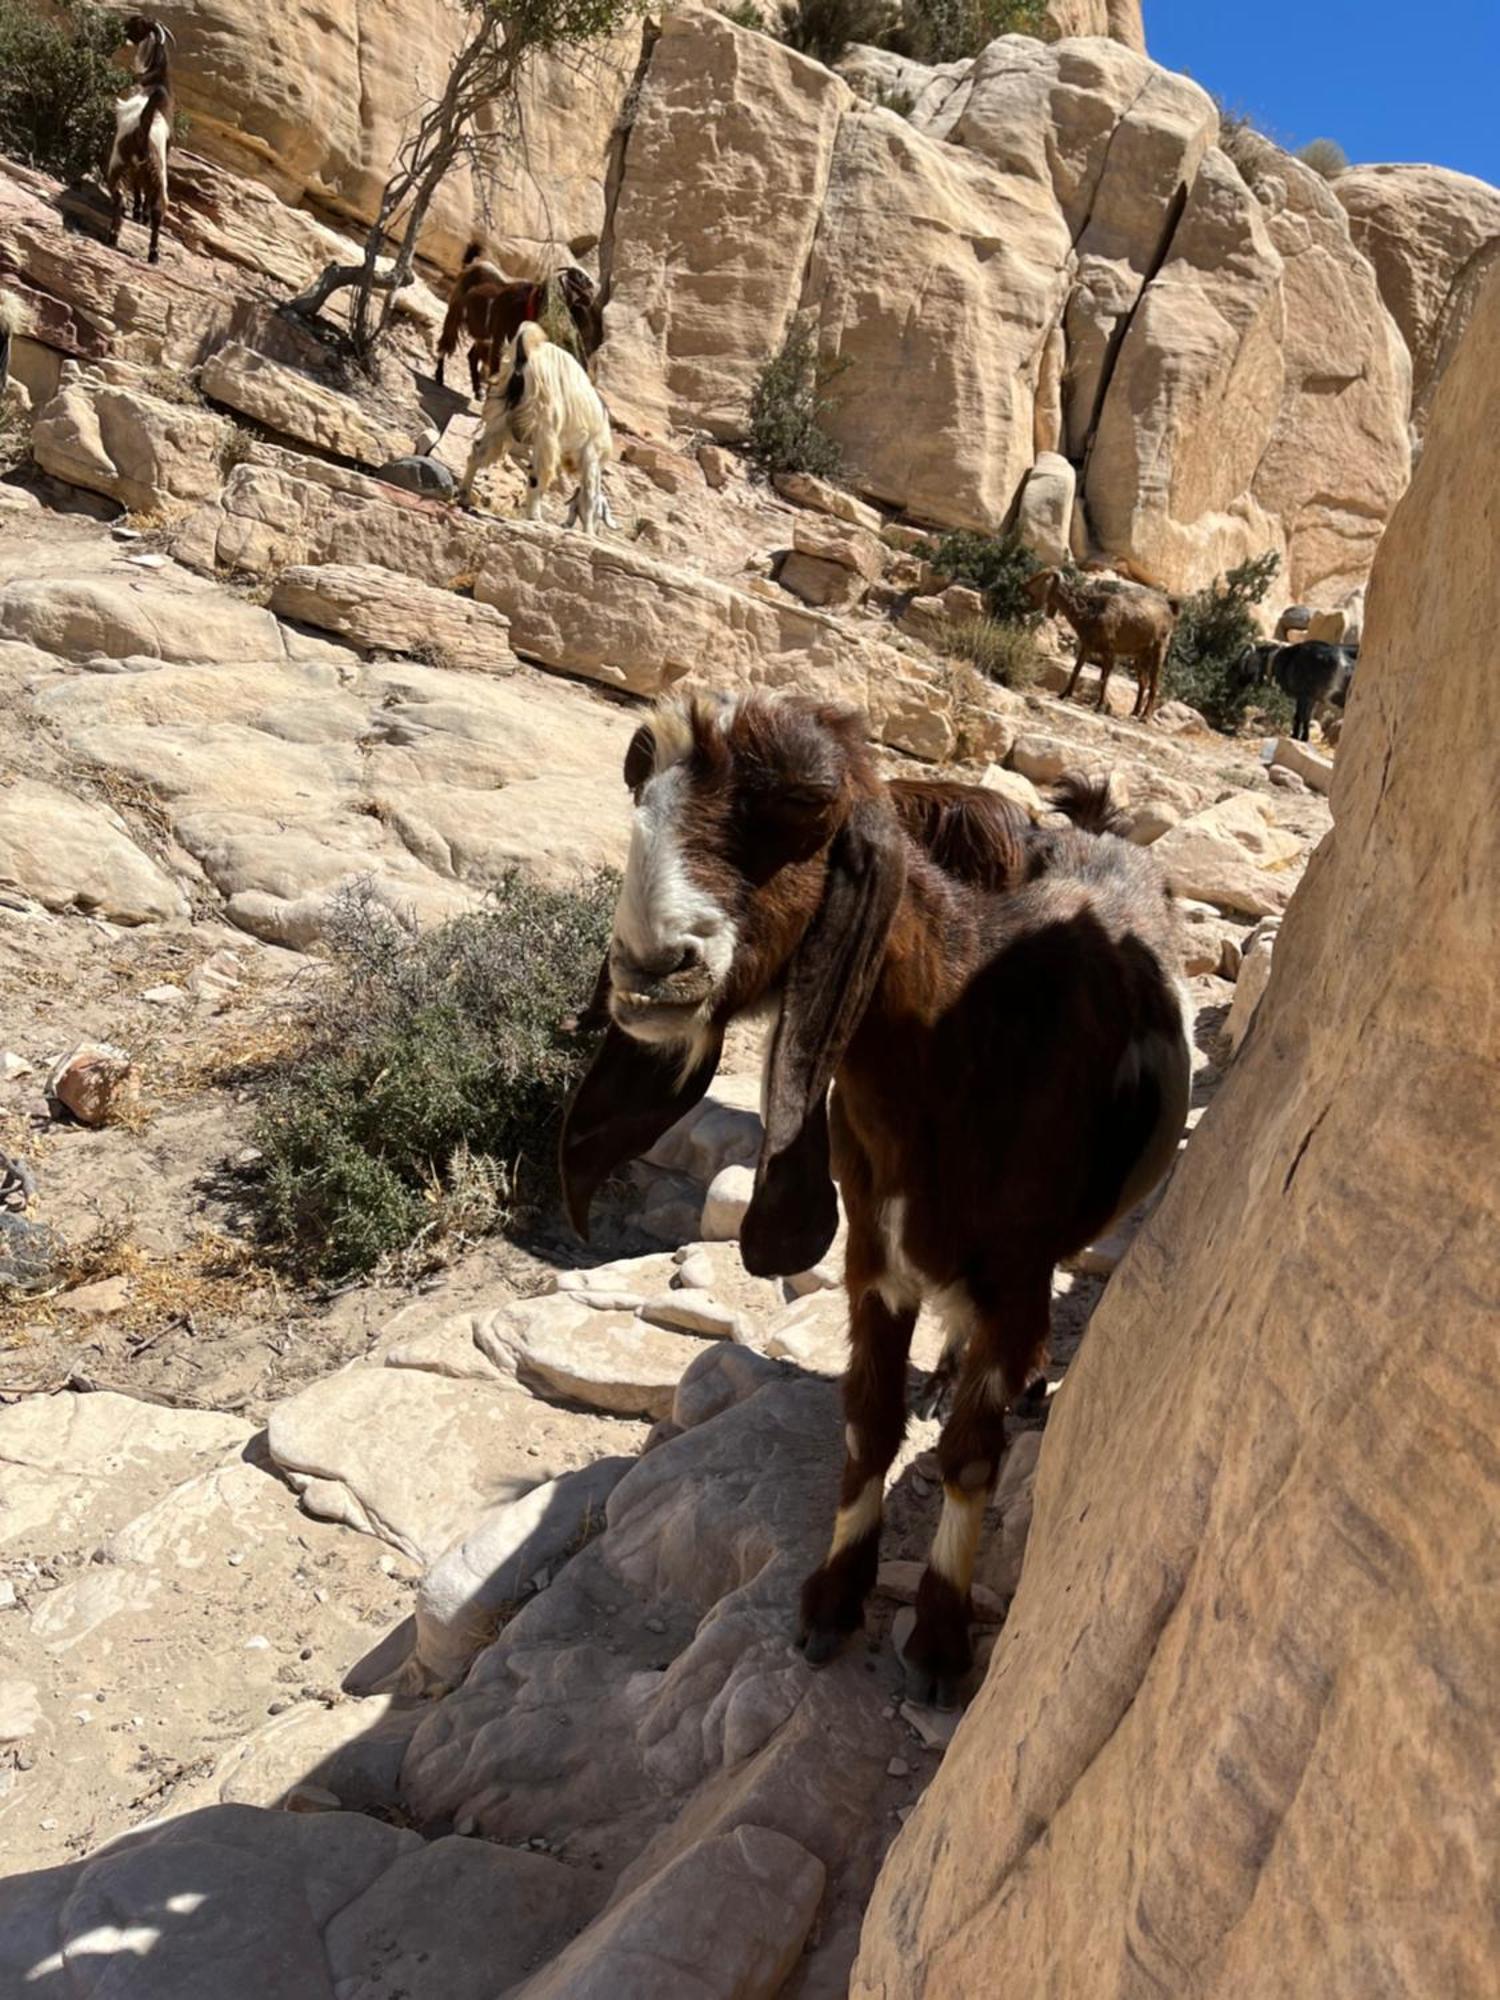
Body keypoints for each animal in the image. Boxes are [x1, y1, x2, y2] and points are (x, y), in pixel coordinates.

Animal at [108, 16, 176, 266]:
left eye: (137, 23)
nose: (120, 26)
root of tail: (143, 131)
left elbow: (137, 189)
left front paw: (138, 212)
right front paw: (140, 213)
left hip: (120, 164)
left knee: (120, 198)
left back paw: (114, 234)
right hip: (156, 175)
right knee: (157, 210)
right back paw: (152, 253)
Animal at [434, 240, 604, 396]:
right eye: (580, 280)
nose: (591, 296)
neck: (530, 304)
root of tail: (471, 268)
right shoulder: (500, 336)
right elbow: (496, 367)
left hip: (482, 335)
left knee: (472, 354)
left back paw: (478, 390)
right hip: (455, 314)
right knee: (445, 344)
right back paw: (439, 377)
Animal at [464, 324, 616, 536]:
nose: (596, 529)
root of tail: (523, 356)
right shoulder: (591, 455)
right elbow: (589, 495)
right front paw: (589, 532)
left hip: (500, 418)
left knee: (479, 451)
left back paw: (463, 495)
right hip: (544, 426)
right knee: (537, 474)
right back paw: (535, 517)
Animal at [564, 696, 1200, 1696]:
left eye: (805, 805)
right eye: (640, 788)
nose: (647, 969)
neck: (961, 1048)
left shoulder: (1015, 1272)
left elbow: (970, 1457)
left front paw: (938, 1639)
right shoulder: (875, 1258)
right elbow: (868, 1425)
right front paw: (832, 1599)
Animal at [1032, 564, 1184, 720]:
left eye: (1038, 579)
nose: (1025, 587)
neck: (1091, 614)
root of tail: (1170, 610)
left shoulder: (1109, 651)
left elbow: (1104, 678)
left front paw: (1100, 706)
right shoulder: (1087, 646)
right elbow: (1077, 670)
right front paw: (1063, 694)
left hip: (1159, 649)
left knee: (1154, 684)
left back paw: (1145, 716)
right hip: (1140, 655)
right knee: (1143, 682)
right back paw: (1134, 712)